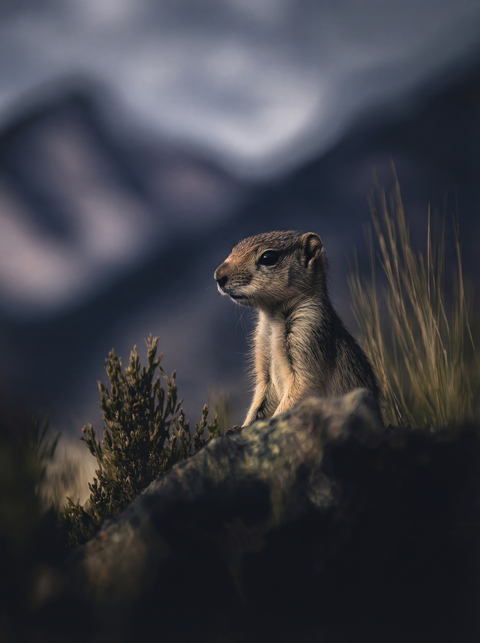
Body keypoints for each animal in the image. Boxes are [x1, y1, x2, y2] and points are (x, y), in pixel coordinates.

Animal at [214, 230, 380, 430]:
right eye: (234, 249)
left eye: (268, 257)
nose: (218, 276)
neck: (272, 319)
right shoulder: (263, 365)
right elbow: (260, 400)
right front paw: (241, 427)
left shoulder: (308, 333)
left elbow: (302, 389)